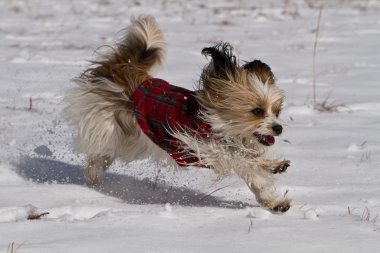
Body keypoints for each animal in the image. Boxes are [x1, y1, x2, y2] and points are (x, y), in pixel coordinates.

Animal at [66, 15, 290, 213]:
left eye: (276, 111)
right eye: (257, 111)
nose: (278, 128)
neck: (216, 122)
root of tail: (124, 73)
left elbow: (251, 166)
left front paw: (274, 197)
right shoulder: (199, 147)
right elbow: (239, 159)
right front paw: (267, 167)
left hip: (133, 140)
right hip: (107, 125)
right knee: (98, 152)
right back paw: (93, 175)